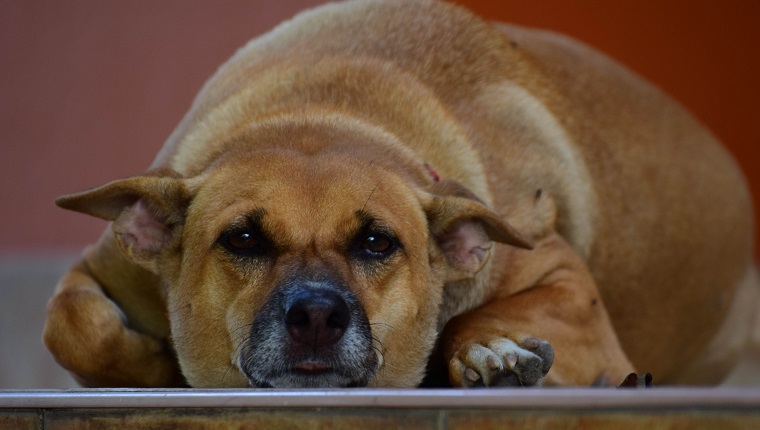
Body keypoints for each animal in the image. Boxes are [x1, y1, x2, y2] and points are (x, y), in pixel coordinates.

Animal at [44, 0, 756, 390]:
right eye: (242, 237)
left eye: (376, 242)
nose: (316, 316)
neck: (321, 111)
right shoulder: (102, 267)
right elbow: (71, 326)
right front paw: (152, 360)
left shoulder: (567, 285)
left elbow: (478, 317)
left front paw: (491, 352)